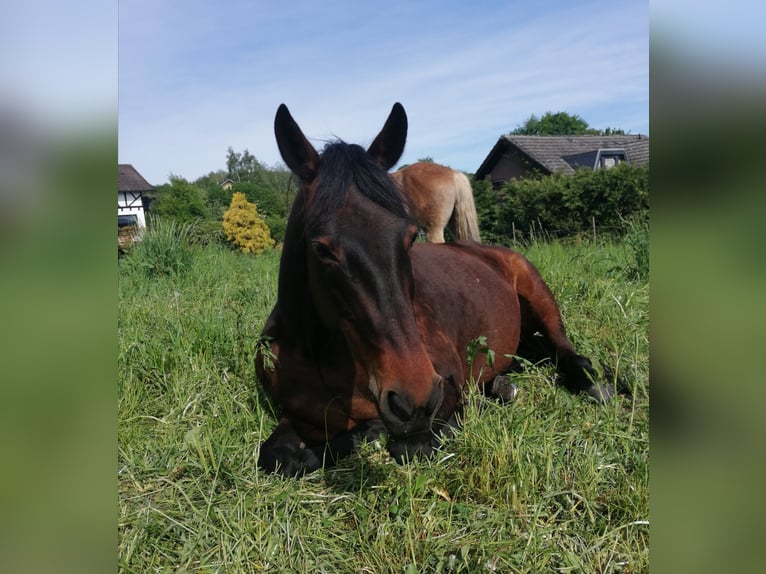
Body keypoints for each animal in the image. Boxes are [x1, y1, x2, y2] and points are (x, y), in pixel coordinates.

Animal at [255, 102, 616, 476]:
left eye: (409, 237)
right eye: (321, 249)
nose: (413, 397)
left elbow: (409, 443)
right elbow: (278, 455)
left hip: (539, 295)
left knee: (565, 350)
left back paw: (593, 383)